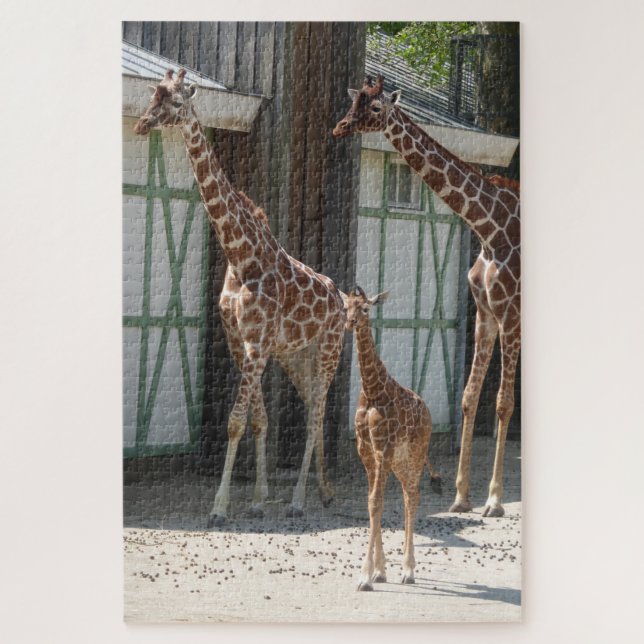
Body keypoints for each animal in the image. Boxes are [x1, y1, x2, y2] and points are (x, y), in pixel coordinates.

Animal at [134, 69, 346, 525]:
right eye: (152, 96)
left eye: (176, 103)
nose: (141, 124)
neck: (240, 253)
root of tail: (341, 300)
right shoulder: (242, 341)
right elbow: (259, 420)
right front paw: (258, 499)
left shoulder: (256, 343)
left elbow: (234, 421)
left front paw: (219, 508)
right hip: (296, 357)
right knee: (314, 413)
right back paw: (324, 491)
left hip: (328, 352)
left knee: (315, 416)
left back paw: (299, 500)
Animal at [334, 75, 520, 518]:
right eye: (355, 101)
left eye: (376, 108)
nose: (340, 128)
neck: (490, 228)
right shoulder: (485, 312)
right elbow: (469, 397)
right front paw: (460, 496)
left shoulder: (511, 313)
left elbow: (503, 402)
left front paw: (494, 500)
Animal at [345, 287, 440, 591]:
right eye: (346, 307)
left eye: (365, 309)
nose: (350, 323)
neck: (373, 390)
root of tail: (427, 409)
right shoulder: (366, 452)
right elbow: (372, 502)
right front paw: (379, 571)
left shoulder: (382, 449)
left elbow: (377, 502)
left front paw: (365, 576)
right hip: (400, 461)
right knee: (407, 493)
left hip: (416, 452)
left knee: (413, 496)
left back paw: (409, 570)